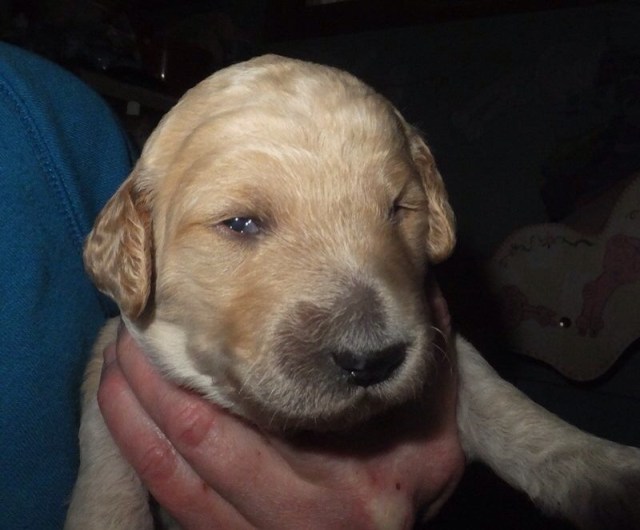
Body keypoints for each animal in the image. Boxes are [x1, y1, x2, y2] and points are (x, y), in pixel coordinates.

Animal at [66, 55, 640, 529]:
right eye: (240, 223)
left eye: (399, 208)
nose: (373, 361)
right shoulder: (111, 364)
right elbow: (109, 476)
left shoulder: (442, 346)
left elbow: (499, 399)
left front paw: (606, 474)